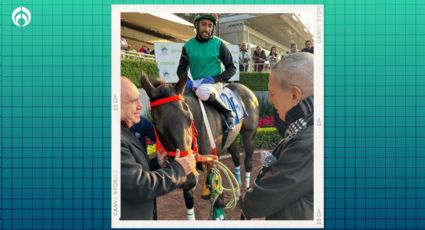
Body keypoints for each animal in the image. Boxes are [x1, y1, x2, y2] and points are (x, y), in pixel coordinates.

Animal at [140, 73, 258, 219]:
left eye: (190, 119)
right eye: (157, 127)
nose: (189, 179)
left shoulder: (212, 166)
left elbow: (218, 202)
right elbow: (190, 206)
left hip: (249, 135)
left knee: (248, 162)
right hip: (230, 138)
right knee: (236, 156)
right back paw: (237, 191)